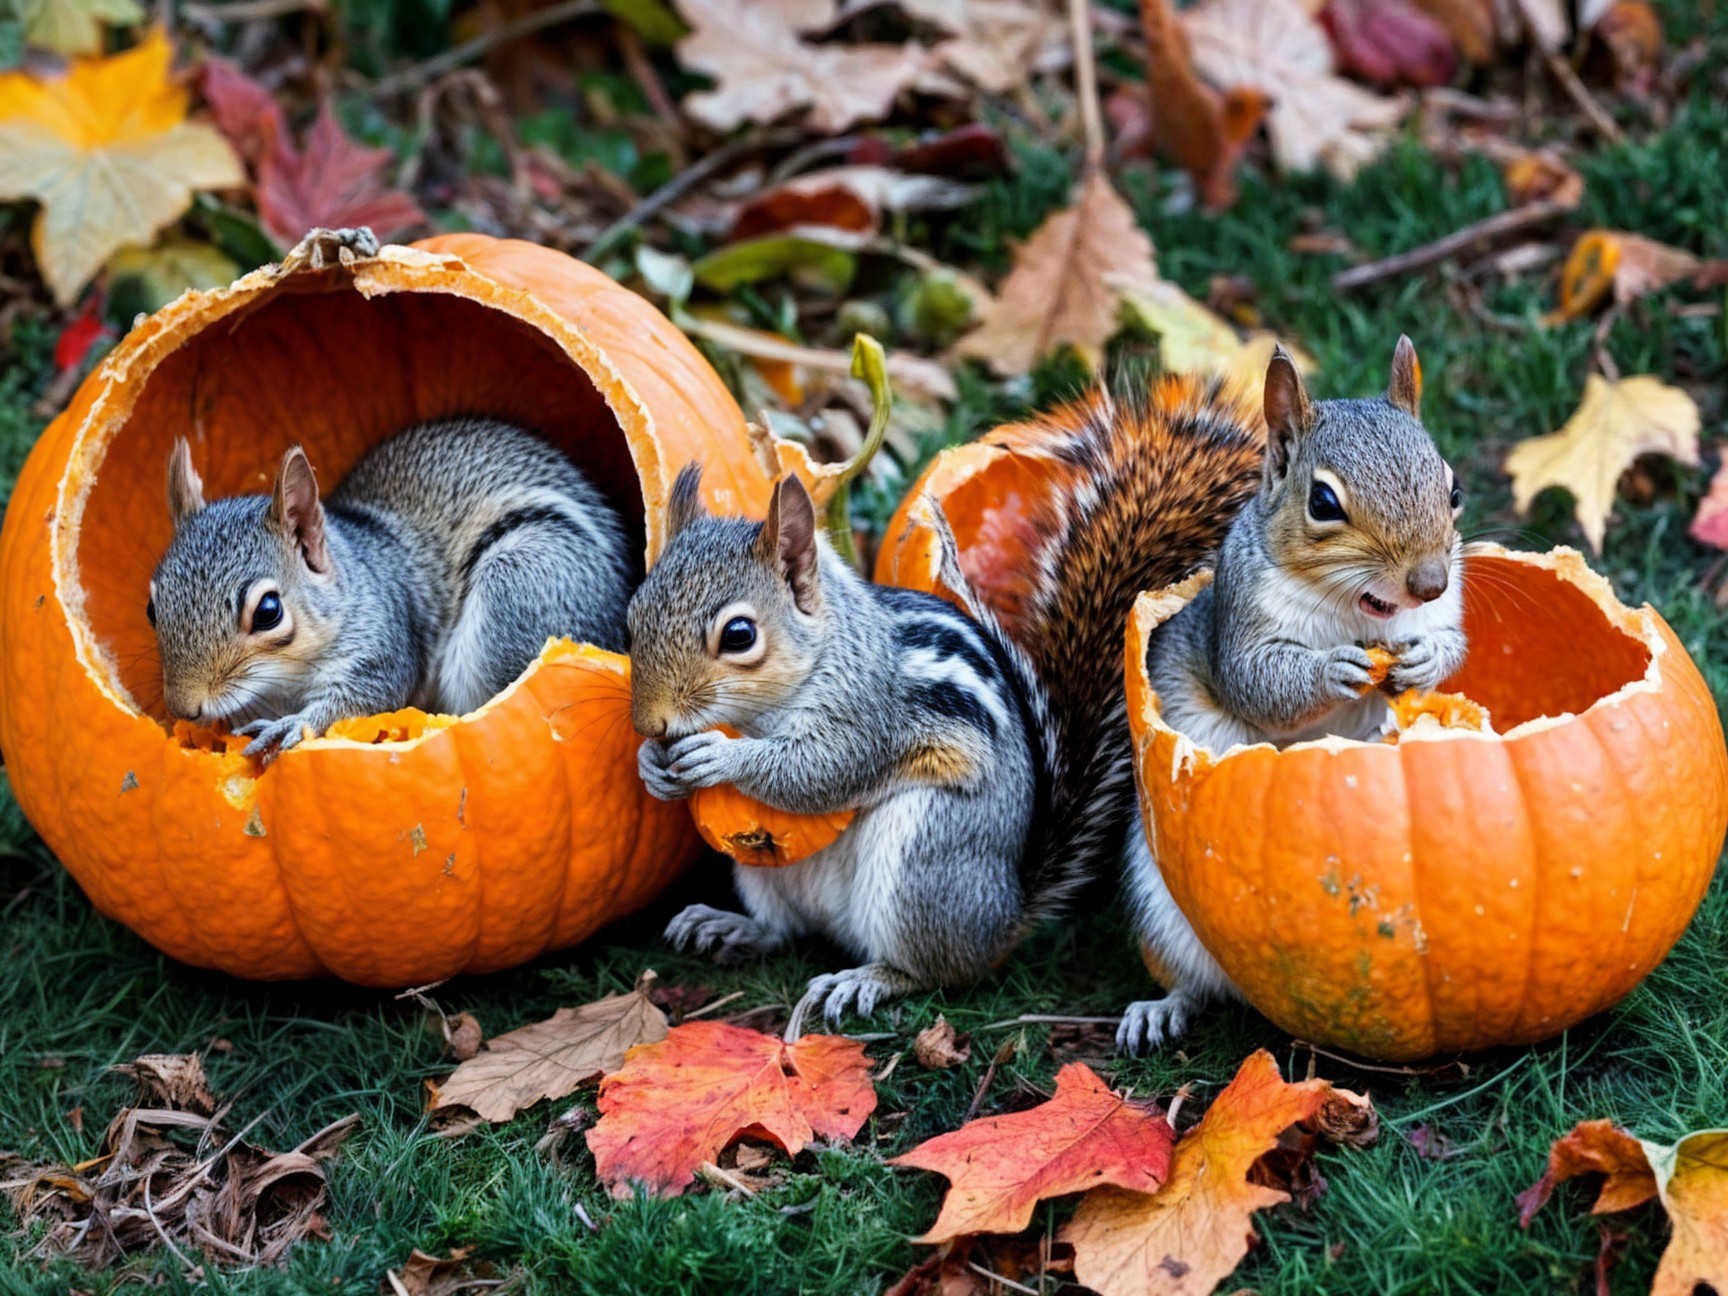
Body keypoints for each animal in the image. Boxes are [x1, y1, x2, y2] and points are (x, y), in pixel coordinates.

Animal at [149, 418, 631, 760]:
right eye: (152, 609)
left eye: (269, 611)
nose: (184, 708)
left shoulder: (382, 643)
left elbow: (369, 694)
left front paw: (294, 725)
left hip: (520, 585)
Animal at [1122, 337, 1466, 1052]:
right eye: (1325, 504)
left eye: (1455, 489)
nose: (1429, 581)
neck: (1360, 613)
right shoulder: (1241, 628)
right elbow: (1257, 684)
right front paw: (1328, 673)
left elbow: (1452, 645)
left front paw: (1426, 662)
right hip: (1161, 905)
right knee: (1191, 983)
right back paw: (1160, 1008)